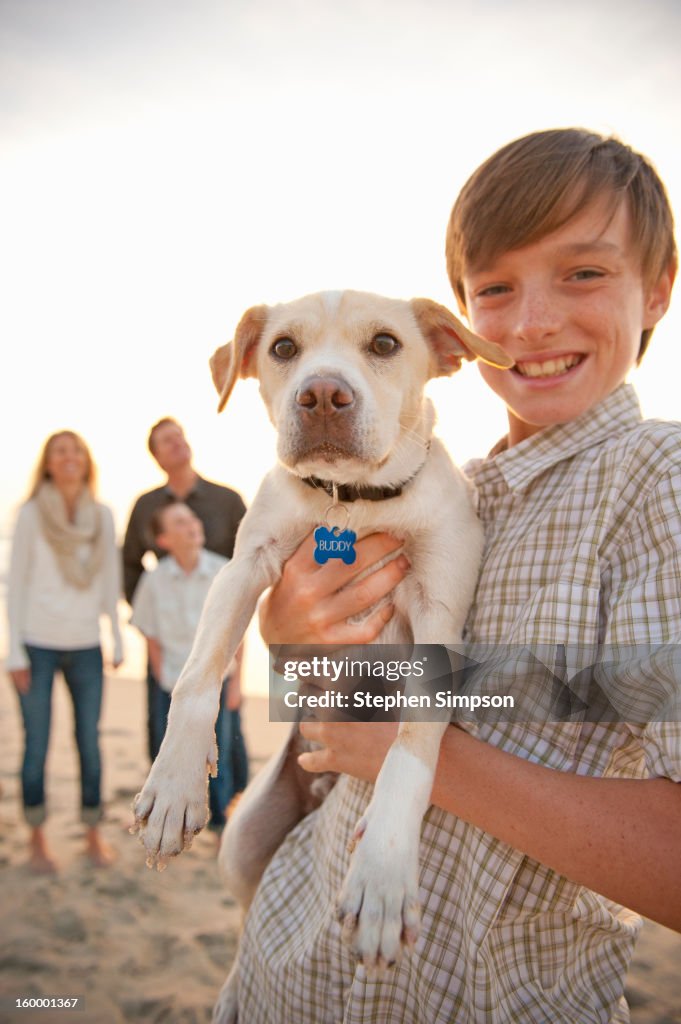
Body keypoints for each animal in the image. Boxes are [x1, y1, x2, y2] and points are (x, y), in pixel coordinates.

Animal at [134, 290, 509, 1024]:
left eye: (386, 344)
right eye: (283, 348)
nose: (324, 394)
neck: (354, 506)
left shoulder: (438, 615)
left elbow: (411, 752)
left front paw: (384, 876)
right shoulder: (243, 567)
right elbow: (196, 675)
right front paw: (173, 786)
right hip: (242, 843)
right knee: (245, 918)